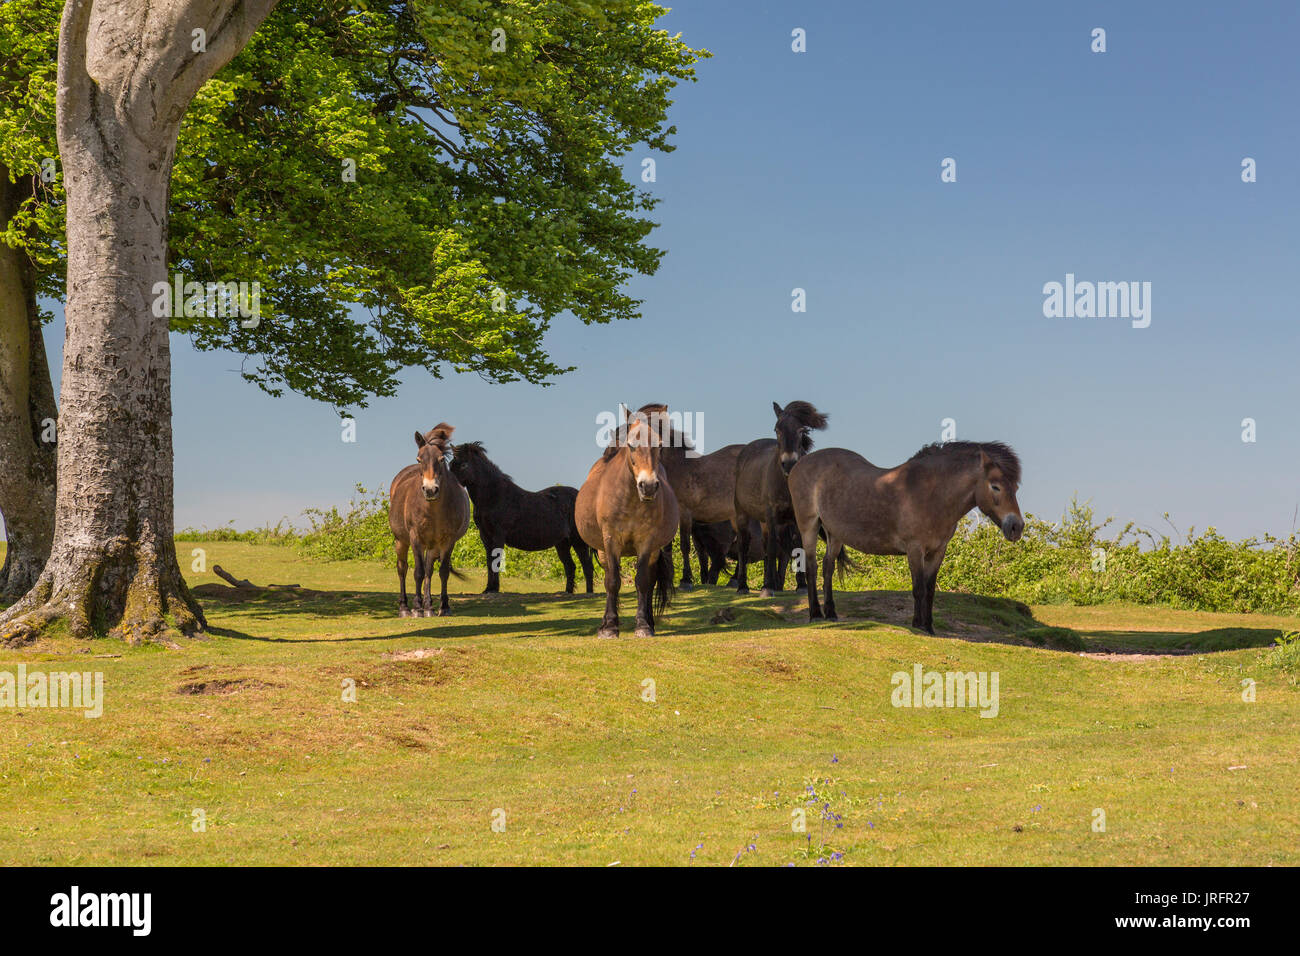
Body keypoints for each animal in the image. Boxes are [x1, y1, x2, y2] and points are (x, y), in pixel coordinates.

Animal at [390, 421, 473, 616]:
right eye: (419, 459)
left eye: (441, 459)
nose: (430, 490)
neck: (433, 510)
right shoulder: (415, 538)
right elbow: (418, 572)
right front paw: (417, 608)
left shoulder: (447, 540)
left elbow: (442, 572)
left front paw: (444, 606)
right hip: (401, 540)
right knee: (402, 568)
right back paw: (405, 607)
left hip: (433, 545)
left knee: (429, 570)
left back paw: (429, 606)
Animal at [444, 444, 592, 595]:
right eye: (451, 464)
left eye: (464, 464)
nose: (448, 485)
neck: (494, 497)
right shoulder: (485, 536)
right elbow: (489, 561)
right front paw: (488, 589)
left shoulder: (498, 535)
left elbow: (496, 561)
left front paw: (494, 589)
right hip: (562, 543)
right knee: (570, 566)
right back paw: (567, 592)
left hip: (578, 541)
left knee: (587, 566)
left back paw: (589, 592)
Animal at [733, 400, 832, 595]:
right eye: (777, 430)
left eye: (801, 430)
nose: (789, 464)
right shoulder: (771, 515)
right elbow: (772, 548)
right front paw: (768, 588)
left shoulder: (795, 517)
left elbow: (798, 546)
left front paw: (802, 585)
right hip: (743, 514)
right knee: (743, 545)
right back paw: (743, 586)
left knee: (765, 545)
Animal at [785, 442, 1019, 634]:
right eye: (995, 486)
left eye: (1015, 488)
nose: (1016, 527)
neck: (932, 494)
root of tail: (800, 465)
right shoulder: (915, 549)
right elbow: (918, 588)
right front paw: (918, 625)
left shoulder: (937, 552)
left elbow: (930, 590)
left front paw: (929, 626)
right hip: (809, 526)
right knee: (812, 567)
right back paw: (815, 614)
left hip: (834, 534)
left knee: (828, 568)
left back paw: (831, 613)